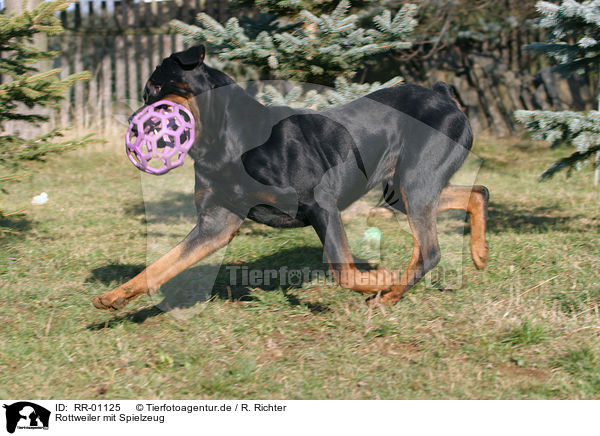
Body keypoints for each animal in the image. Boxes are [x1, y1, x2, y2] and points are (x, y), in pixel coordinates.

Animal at [94, 44, 488, 310]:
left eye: (155, 89)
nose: (131, 125)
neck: (227, 142)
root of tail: (443, 95)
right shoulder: (216, 225)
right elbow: (162, 264)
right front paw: (114, 296)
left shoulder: (320, 205)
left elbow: (342, 269)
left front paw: (380, 278)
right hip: (402, 189)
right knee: (475, 193)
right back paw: (477, 253)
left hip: (415, 180)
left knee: (430, 250)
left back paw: (390, 293)